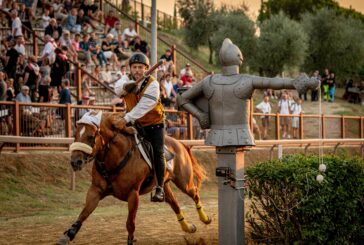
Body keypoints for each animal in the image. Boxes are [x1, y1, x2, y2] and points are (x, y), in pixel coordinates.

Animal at [55, 111, 212, 245]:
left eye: (90, 136)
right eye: (75, 135)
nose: (75, 162)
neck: (116, 158)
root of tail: (180, 143)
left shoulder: (133, 194)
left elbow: (130, 224)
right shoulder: (95, 191)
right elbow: (83, 214)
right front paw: (68, 235)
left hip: (184, 182)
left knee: (195, 194)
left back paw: (205, 219)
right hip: (164, 186)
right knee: (175, 204)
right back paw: (188, 227)